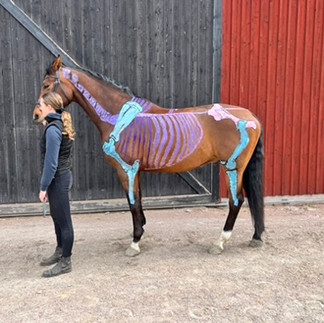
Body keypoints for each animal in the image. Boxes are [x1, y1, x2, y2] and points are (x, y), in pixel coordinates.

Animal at [33, 56, 264, 258]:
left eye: (46, 85)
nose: (36, 115)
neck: (118, 116)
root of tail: (251, 116)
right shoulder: (136, 171)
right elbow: (139, 200)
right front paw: (140, 230)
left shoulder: (126, 170)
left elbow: (132, 202)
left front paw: (135, 243)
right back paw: (256, 236)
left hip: (232, 167)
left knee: (237, 200)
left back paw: (220, 242)